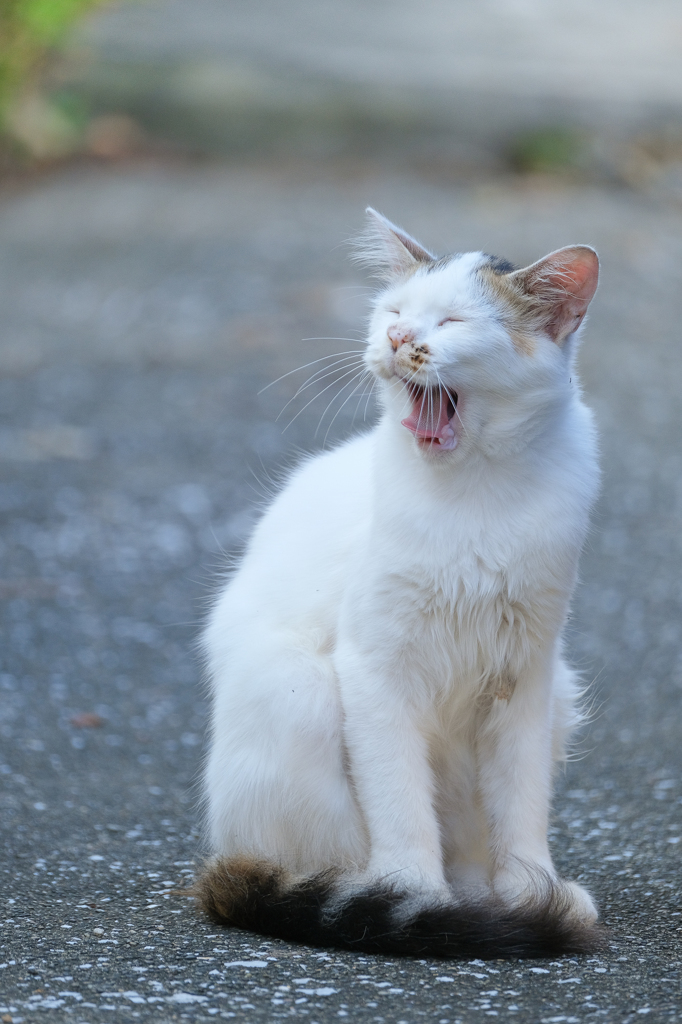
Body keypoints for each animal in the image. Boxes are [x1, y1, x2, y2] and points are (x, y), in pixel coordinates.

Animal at [196, 209, 602, 958]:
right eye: (394, 312)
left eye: (450, 321)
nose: (396, 339)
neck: (479, 494)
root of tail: (223, 853)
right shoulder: (375, 669)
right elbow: (400, 802)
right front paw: (411, 895)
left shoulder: (526, 675)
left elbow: (521, 802)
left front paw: (530, 888)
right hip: (303, 694)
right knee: (326, 859)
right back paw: (380, 899)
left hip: (560, 694)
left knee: (472, 842)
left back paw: (489, 897)